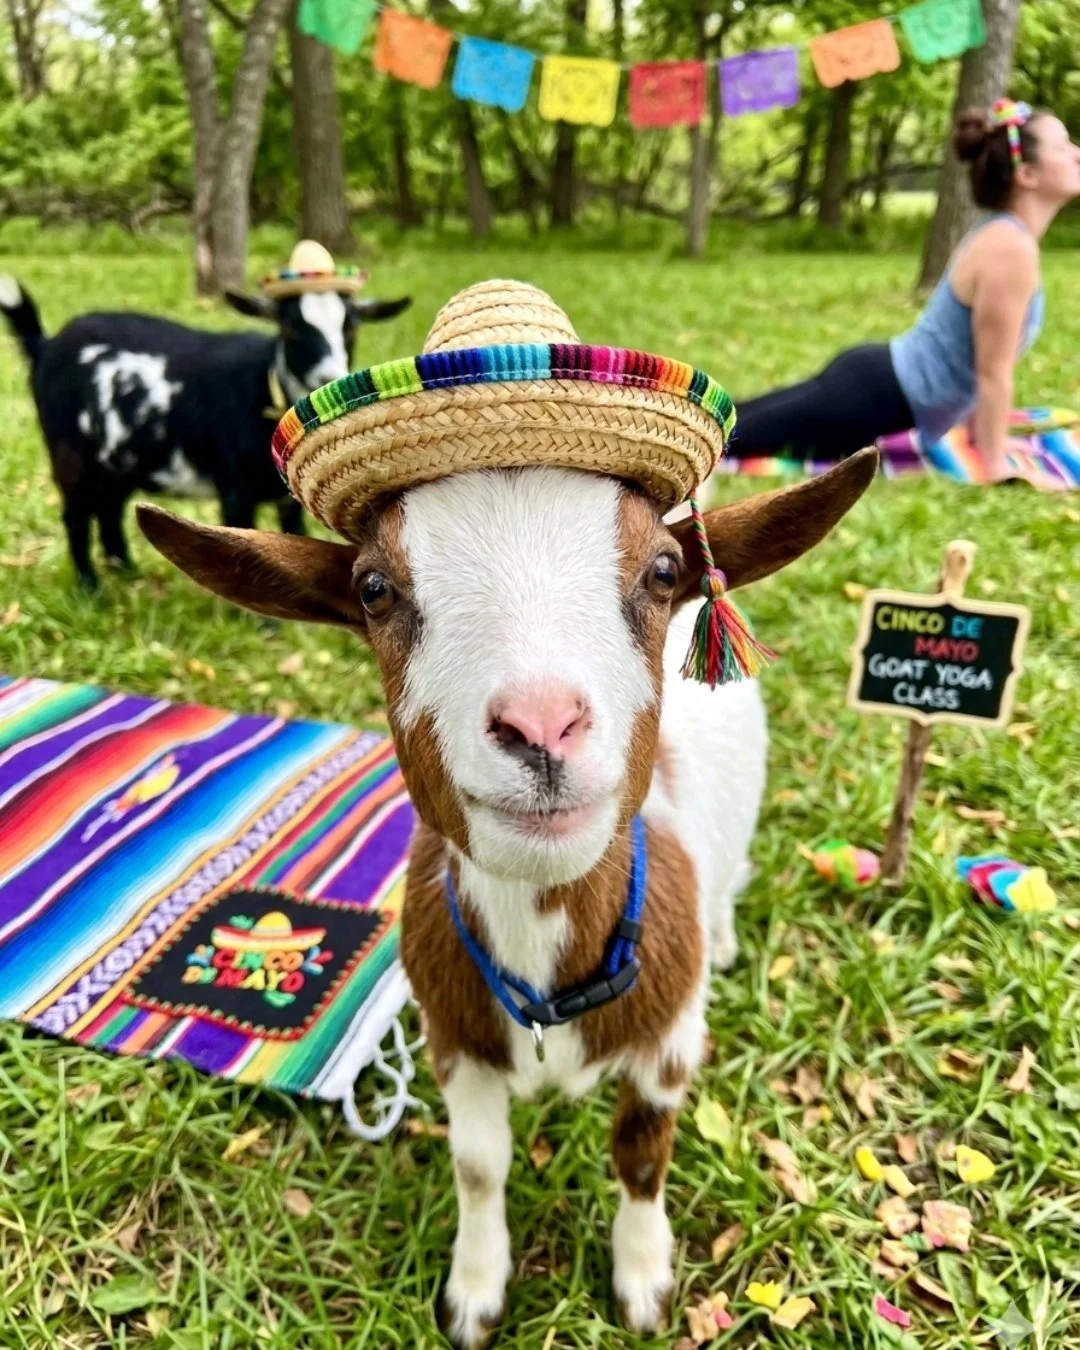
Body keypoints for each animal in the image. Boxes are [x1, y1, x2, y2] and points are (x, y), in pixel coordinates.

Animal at [0, 276, 410, 590]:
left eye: (350, 327)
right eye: (290, 327)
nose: (329, 378)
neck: (265, 383)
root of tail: (46, 345)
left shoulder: (287, 498)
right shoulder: (235, 489)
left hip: (118, 460)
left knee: (109, 509)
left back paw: (126, 572)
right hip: (70, 453)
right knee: (76, 516)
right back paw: (90, 587)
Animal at [138, 442, 876, 1343]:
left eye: (664, 570)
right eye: (373, 589)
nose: (542, 726)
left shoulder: (669, 1041)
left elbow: (642, 1154)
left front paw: (643, 1285)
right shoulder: (454, 1040)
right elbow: (480, 1167)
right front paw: (475, 1293)